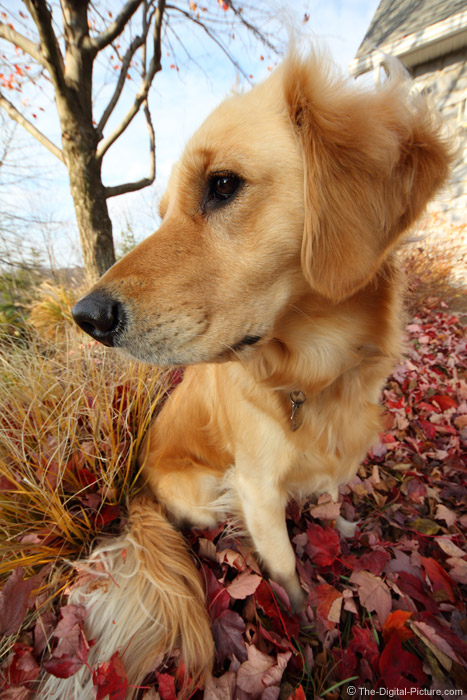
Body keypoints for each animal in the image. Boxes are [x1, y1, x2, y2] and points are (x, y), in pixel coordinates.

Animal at [45, 46, 452, 696]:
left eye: (222, 185)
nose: (86, 317)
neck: (312, 377)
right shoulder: (257, 487)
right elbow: (284, 564)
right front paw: (304, 622)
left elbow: (333, 499)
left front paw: (341, 531)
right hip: (209, 491)